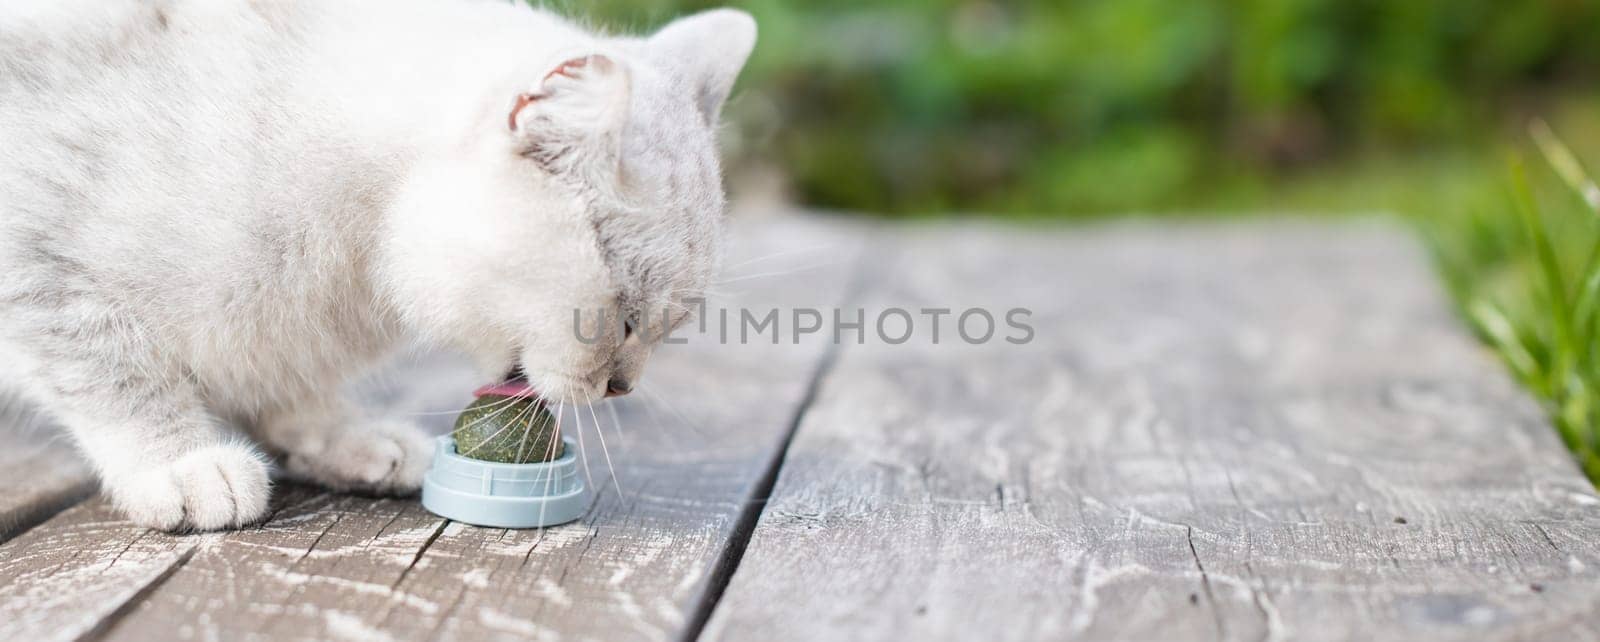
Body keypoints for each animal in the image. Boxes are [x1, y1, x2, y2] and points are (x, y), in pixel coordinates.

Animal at [0, 1, 752, 531]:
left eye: (668, 327)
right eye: (621, 322)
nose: (622, 388)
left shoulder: (279, 315)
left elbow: (282, 376)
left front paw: (343, 439)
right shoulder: (38, 256)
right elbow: (115, 374)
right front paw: (182, 463)